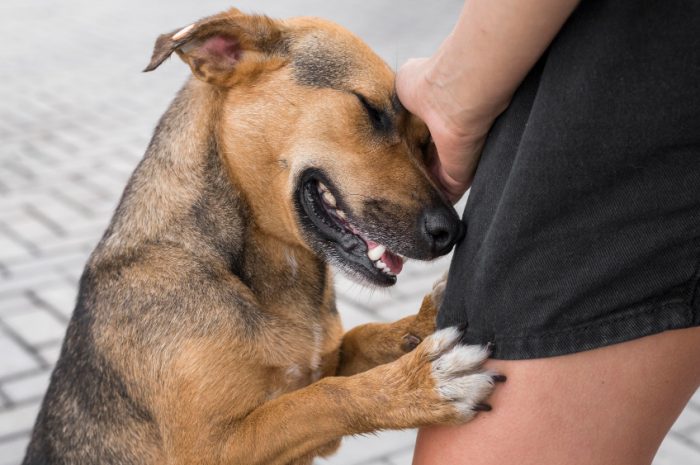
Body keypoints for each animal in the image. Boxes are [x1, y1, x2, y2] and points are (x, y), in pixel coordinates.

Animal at [23, 8, 504, 464]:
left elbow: (361, 338)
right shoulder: (212, 449)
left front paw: (421, 322)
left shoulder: (324, 362)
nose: (452, 231)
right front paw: (418, 384)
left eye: (425, 140)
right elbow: (319, 400)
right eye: (370, 109)